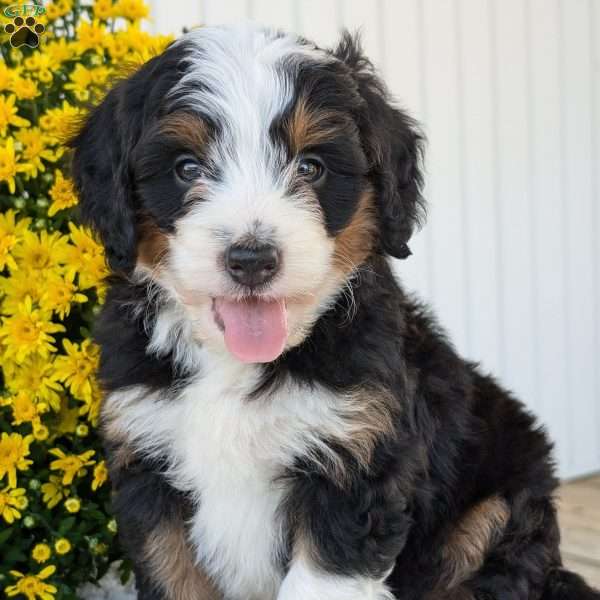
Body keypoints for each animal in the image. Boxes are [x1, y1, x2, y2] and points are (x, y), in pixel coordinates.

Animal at [71, 23, 600, 600]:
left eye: (311, 166)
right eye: (187, 168)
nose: (252, 259)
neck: (234, 365)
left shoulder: (355, 458)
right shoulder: (151, 468)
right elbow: (174, 574)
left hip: (499, 502)